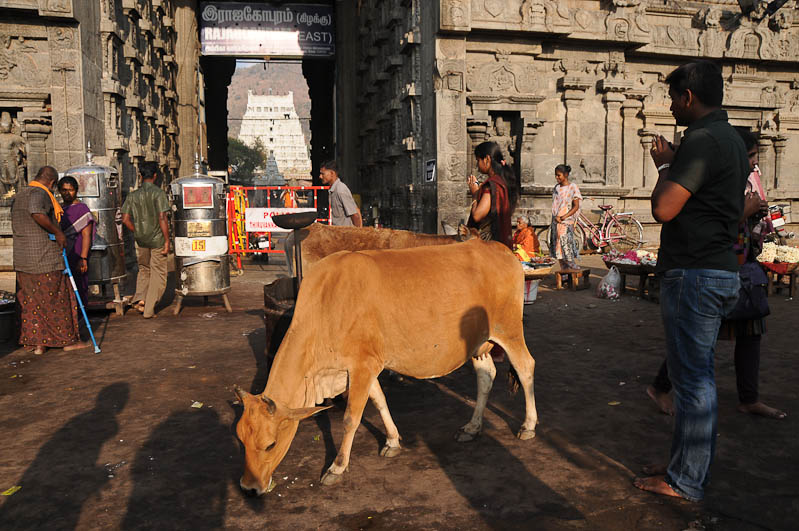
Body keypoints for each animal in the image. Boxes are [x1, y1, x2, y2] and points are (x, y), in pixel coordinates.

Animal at [236, 239, 536, 496]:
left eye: (270, 444)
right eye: (240, 439)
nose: (249, 487)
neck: (327, 303)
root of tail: (499, 248)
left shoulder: (362, 365)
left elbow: (351, 418)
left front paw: (337, 467)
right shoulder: (364, 367)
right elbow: (379, 401)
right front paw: (392, 441)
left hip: (509, 330)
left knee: (525, 367)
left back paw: (528, 425)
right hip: (478, 342)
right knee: (486, 377)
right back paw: (472, 427)